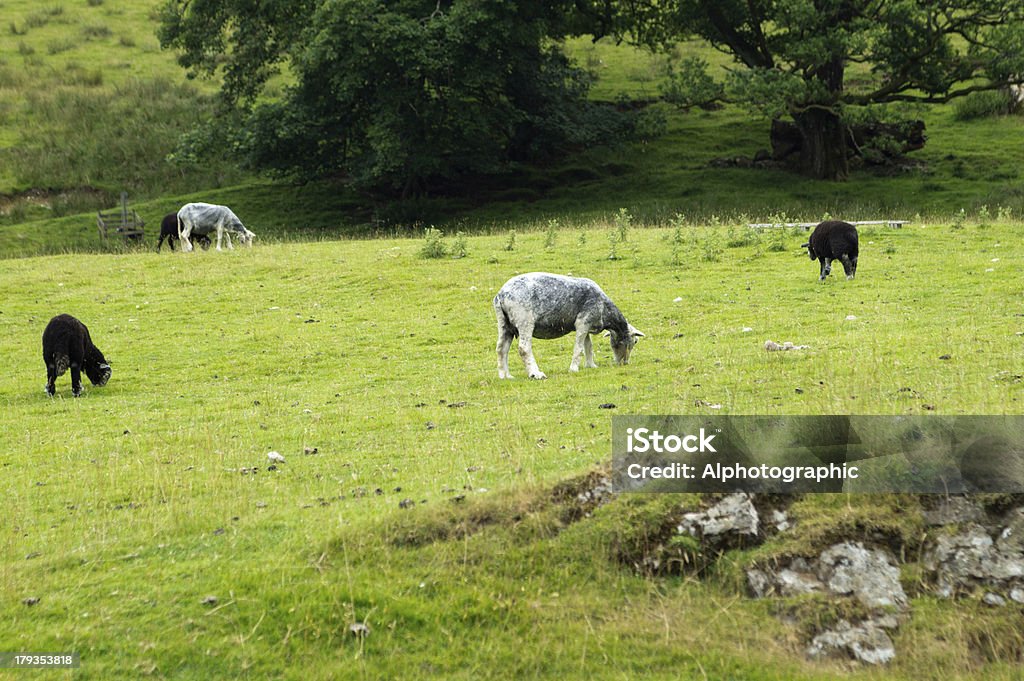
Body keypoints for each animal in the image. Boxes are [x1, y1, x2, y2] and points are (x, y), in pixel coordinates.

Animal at [491, 270, 643, 376]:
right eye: (635, 341)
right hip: (524, 321)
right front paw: (574, 369)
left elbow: (588, 346)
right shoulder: (583, 322)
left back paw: (506, 376)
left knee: (501, 348)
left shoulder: (586, 325)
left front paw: (591, 365)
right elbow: (579, 348)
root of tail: (501, 295)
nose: (624, 363)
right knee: (524, 348)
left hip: (505, 324)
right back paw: (535, 374)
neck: (606, 311)